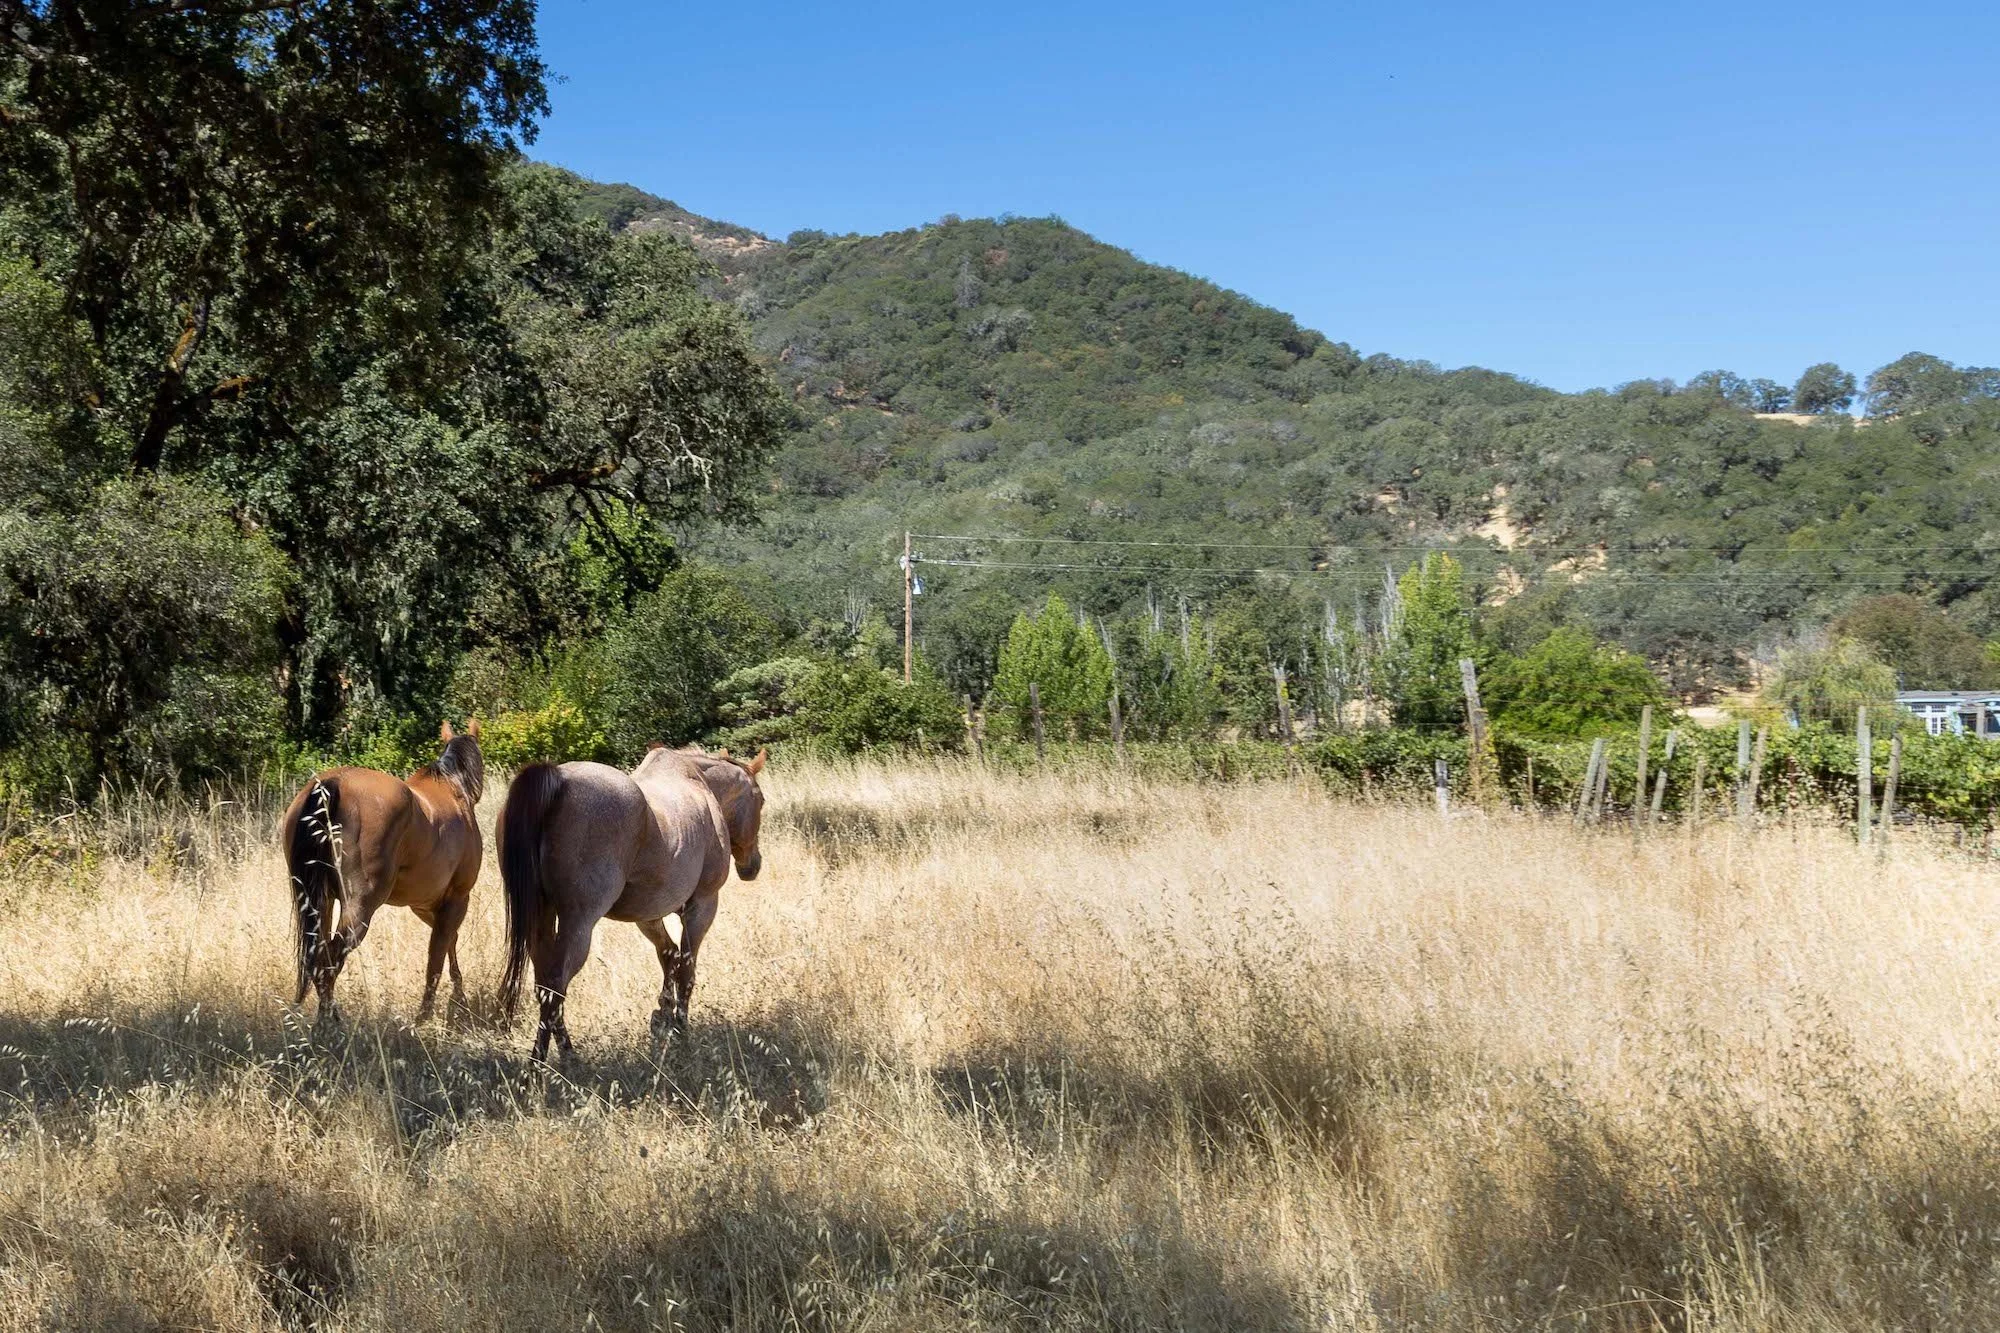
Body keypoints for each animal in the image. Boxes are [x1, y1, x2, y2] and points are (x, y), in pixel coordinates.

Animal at [280, 720, 486, 1027]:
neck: (452, 789)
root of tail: (332, 784)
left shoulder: (426, 906)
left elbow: (447, 943)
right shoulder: (457, 899)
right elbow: (437, 954)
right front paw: (427, 1016)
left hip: (319, 901)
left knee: (318, 957)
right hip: (359, 908)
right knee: (330, 960)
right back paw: (329, 1023)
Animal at [496, 744, 766, 1061]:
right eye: (761, 800)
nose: (753, 866)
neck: (701, 786)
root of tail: (558, 780)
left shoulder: (648, 916)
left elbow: (669, 956)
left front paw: (662, 1016)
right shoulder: (702, 906)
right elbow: (686, 970)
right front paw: (681, 1030)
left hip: (542, 920)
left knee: (544, 987)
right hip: (578, 925)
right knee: (555, 987)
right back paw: (549, 1060)